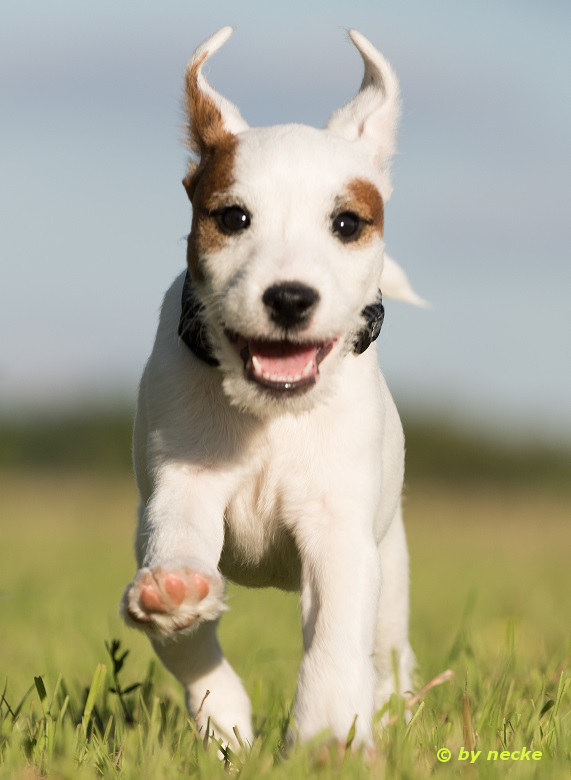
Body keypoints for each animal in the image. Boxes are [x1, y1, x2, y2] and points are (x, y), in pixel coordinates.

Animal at [122, 27, 420, 748]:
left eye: (346, 224)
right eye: (232, 218)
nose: (288, 298)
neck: (270, 416)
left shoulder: (338, 530)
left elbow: (335, 635)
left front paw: (327, 734)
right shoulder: (183, 487)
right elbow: (184, 625)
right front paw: (224, 720)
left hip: (392, 572)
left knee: (388, 656)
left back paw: (392, 712)